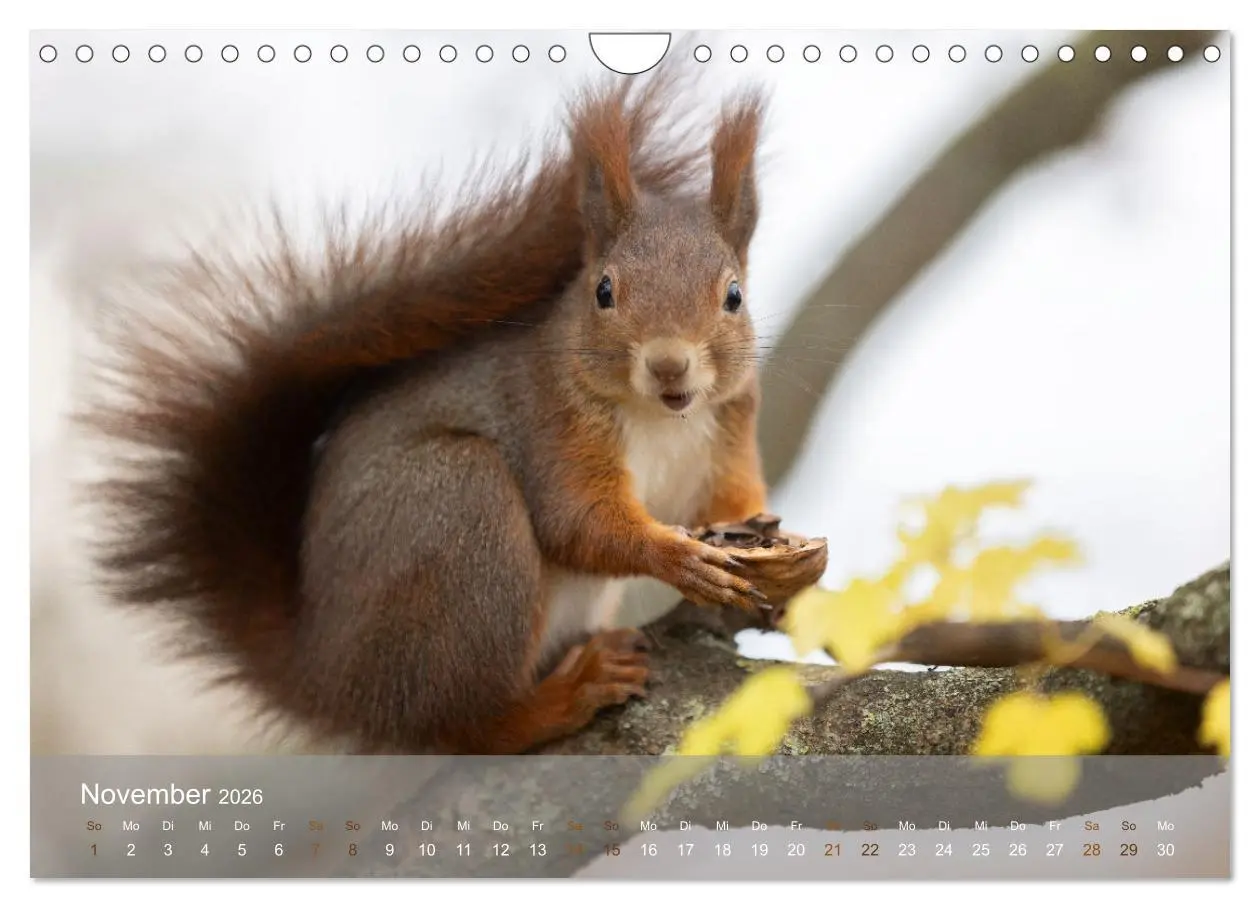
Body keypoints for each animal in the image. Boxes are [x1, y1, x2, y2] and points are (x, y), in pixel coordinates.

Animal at [81, 70, 772, 755]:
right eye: (604, 290)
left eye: (735, 295)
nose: (668, 365)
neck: (663, 418)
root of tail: (328, 678)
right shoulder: (549, 417)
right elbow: (577, 520)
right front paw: (677, 558)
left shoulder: (729, 431)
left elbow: (731, 503)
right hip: (459, 514)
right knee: (465, 722)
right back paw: (564, 696)